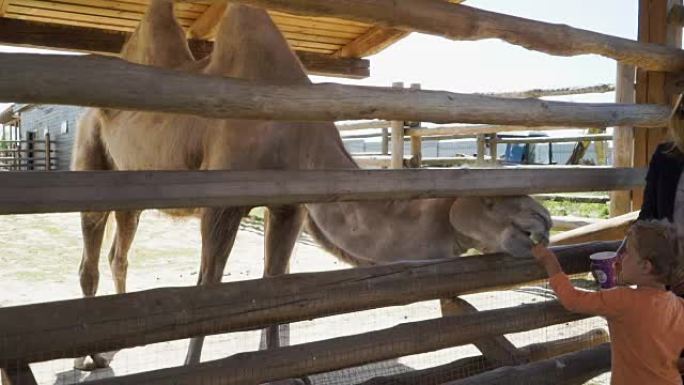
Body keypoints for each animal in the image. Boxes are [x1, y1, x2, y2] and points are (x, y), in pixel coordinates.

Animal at [71, 0, 552, 368]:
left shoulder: (291, 207)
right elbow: (209, 294)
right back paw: (86, 357)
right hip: (89, 146)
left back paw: (110, 349)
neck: (296, 132)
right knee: (91, 248)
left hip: (130, 186)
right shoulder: (221, 202)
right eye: (489, 202)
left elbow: (275, 285)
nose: (541, 221)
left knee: (119, 251)